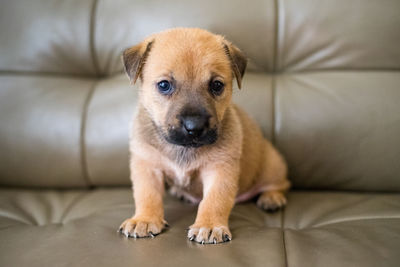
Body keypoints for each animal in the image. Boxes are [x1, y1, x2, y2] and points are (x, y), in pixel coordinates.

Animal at [117, 28, 290, 245]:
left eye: (216, 85)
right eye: (164, 85)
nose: (195, 127)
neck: (184, 148)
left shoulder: (219, 169)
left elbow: (214, 200)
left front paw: (209, 226)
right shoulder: (147, 165)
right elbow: (147, 195)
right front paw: (145, 219)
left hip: (272, 165)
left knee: (282, 183)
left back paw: (272, 197)